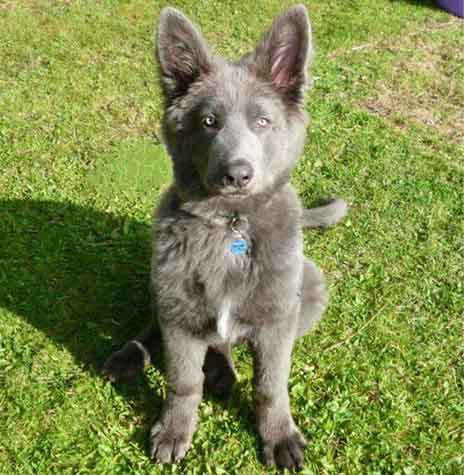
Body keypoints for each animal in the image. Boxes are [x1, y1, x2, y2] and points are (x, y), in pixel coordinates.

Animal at [102, 4, 348, 472]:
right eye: (208, 122)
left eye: (263, 121)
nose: (237, 174)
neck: (230, 225)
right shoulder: (179, 319)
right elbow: (182, 382)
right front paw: (174, 430)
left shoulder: (276, 322)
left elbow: (271, 387)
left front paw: (279, 436)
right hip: (164, 286)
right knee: (164, 325)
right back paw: (133, 355)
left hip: (309, 291)